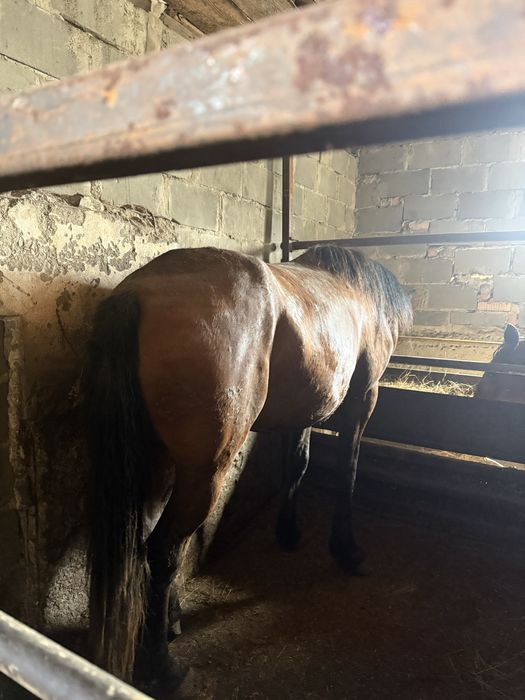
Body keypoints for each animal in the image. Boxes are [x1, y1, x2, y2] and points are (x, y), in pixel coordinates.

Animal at [85, 244, 412, 693]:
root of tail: (139, 291)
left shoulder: (301, 411)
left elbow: (297, 465)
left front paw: (289, 533)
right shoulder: (363, 400)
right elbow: (347, 472)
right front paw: (347, 551)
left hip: (159, 461)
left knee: (149, 537)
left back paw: (171, 622)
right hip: (205, 471)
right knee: (164, 548)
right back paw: (162, 667)